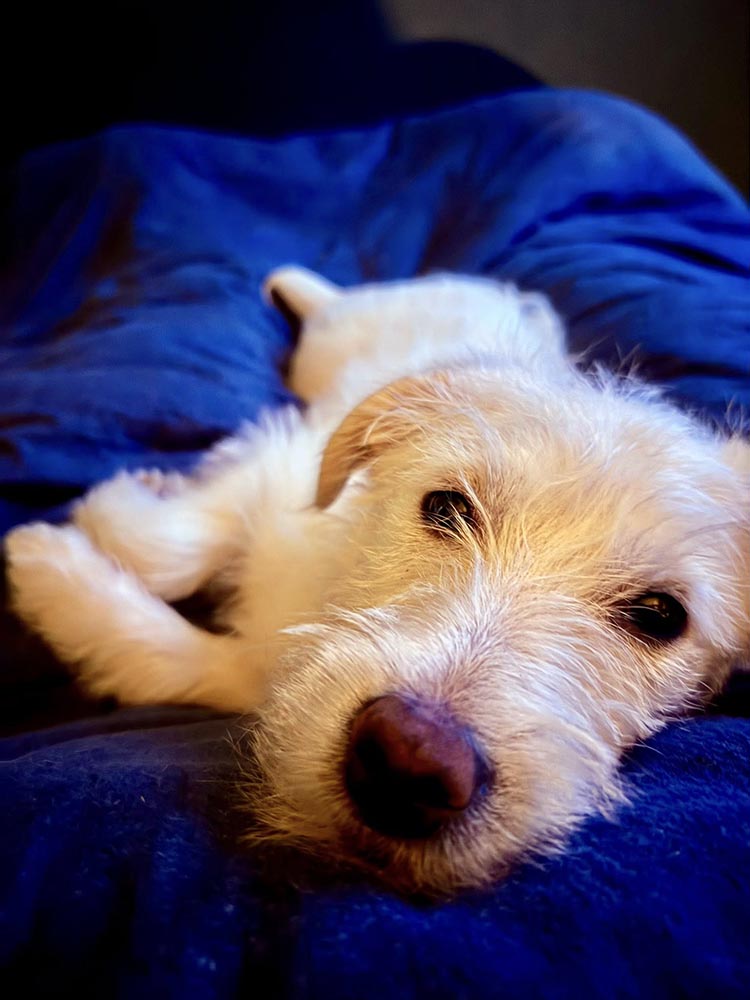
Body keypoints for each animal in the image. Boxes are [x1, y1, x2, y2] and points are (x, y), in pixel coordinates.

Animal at [5, 267, 750, 893]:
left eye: (659, 614)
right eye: (446, 506)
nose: (409, 763)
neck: (331, 578)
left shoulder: (257, 675)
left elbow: (174, 661)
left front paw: (51, 574)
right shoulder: (284, 461)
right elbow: (164, 542)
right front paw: (101, 512)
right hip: (332, 346)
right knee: (322, 303)